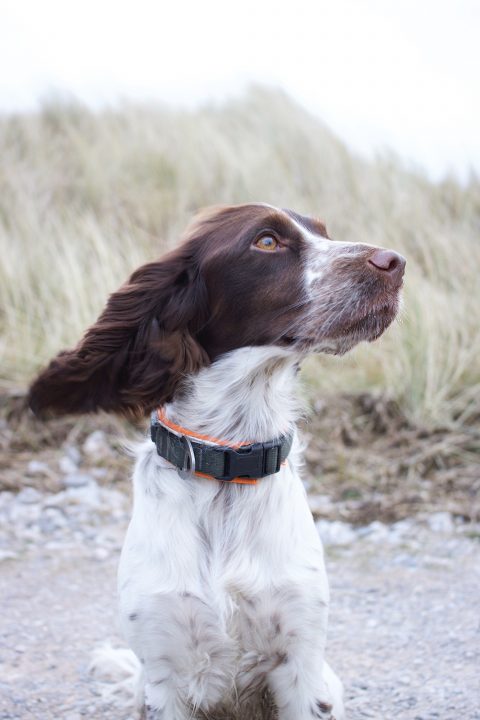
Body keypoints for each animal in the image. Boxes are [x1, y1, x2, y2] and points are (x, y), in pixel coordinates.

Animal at [29, 204, 404, 720]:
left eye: (325, 233)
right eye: (266, 241)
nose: (396, 263)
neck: (227, 461)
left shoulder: (301, 664)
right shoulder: (164, 670)